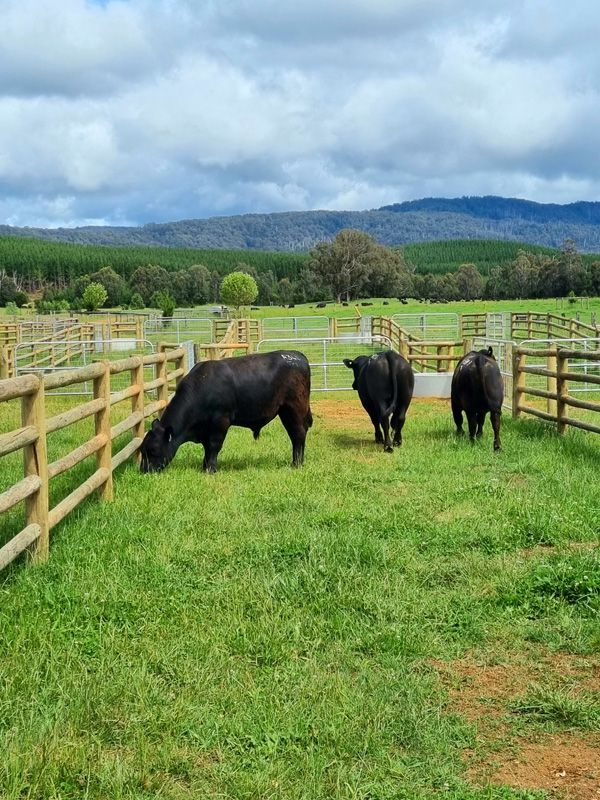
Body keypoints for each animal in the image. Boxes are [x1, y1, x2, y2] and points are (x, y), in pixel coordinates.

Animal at [140, 350, 312, 473]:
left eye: (153, 450)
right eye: (142, 449)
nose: (144, 471)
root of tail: (298, 356)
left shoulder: (220, 422)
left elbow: (214, 446)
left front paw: (210, 469)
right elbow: (207, 448)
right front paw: (204, 466)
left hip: (294, 409)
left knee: (298, 434)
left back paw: (296, 463)